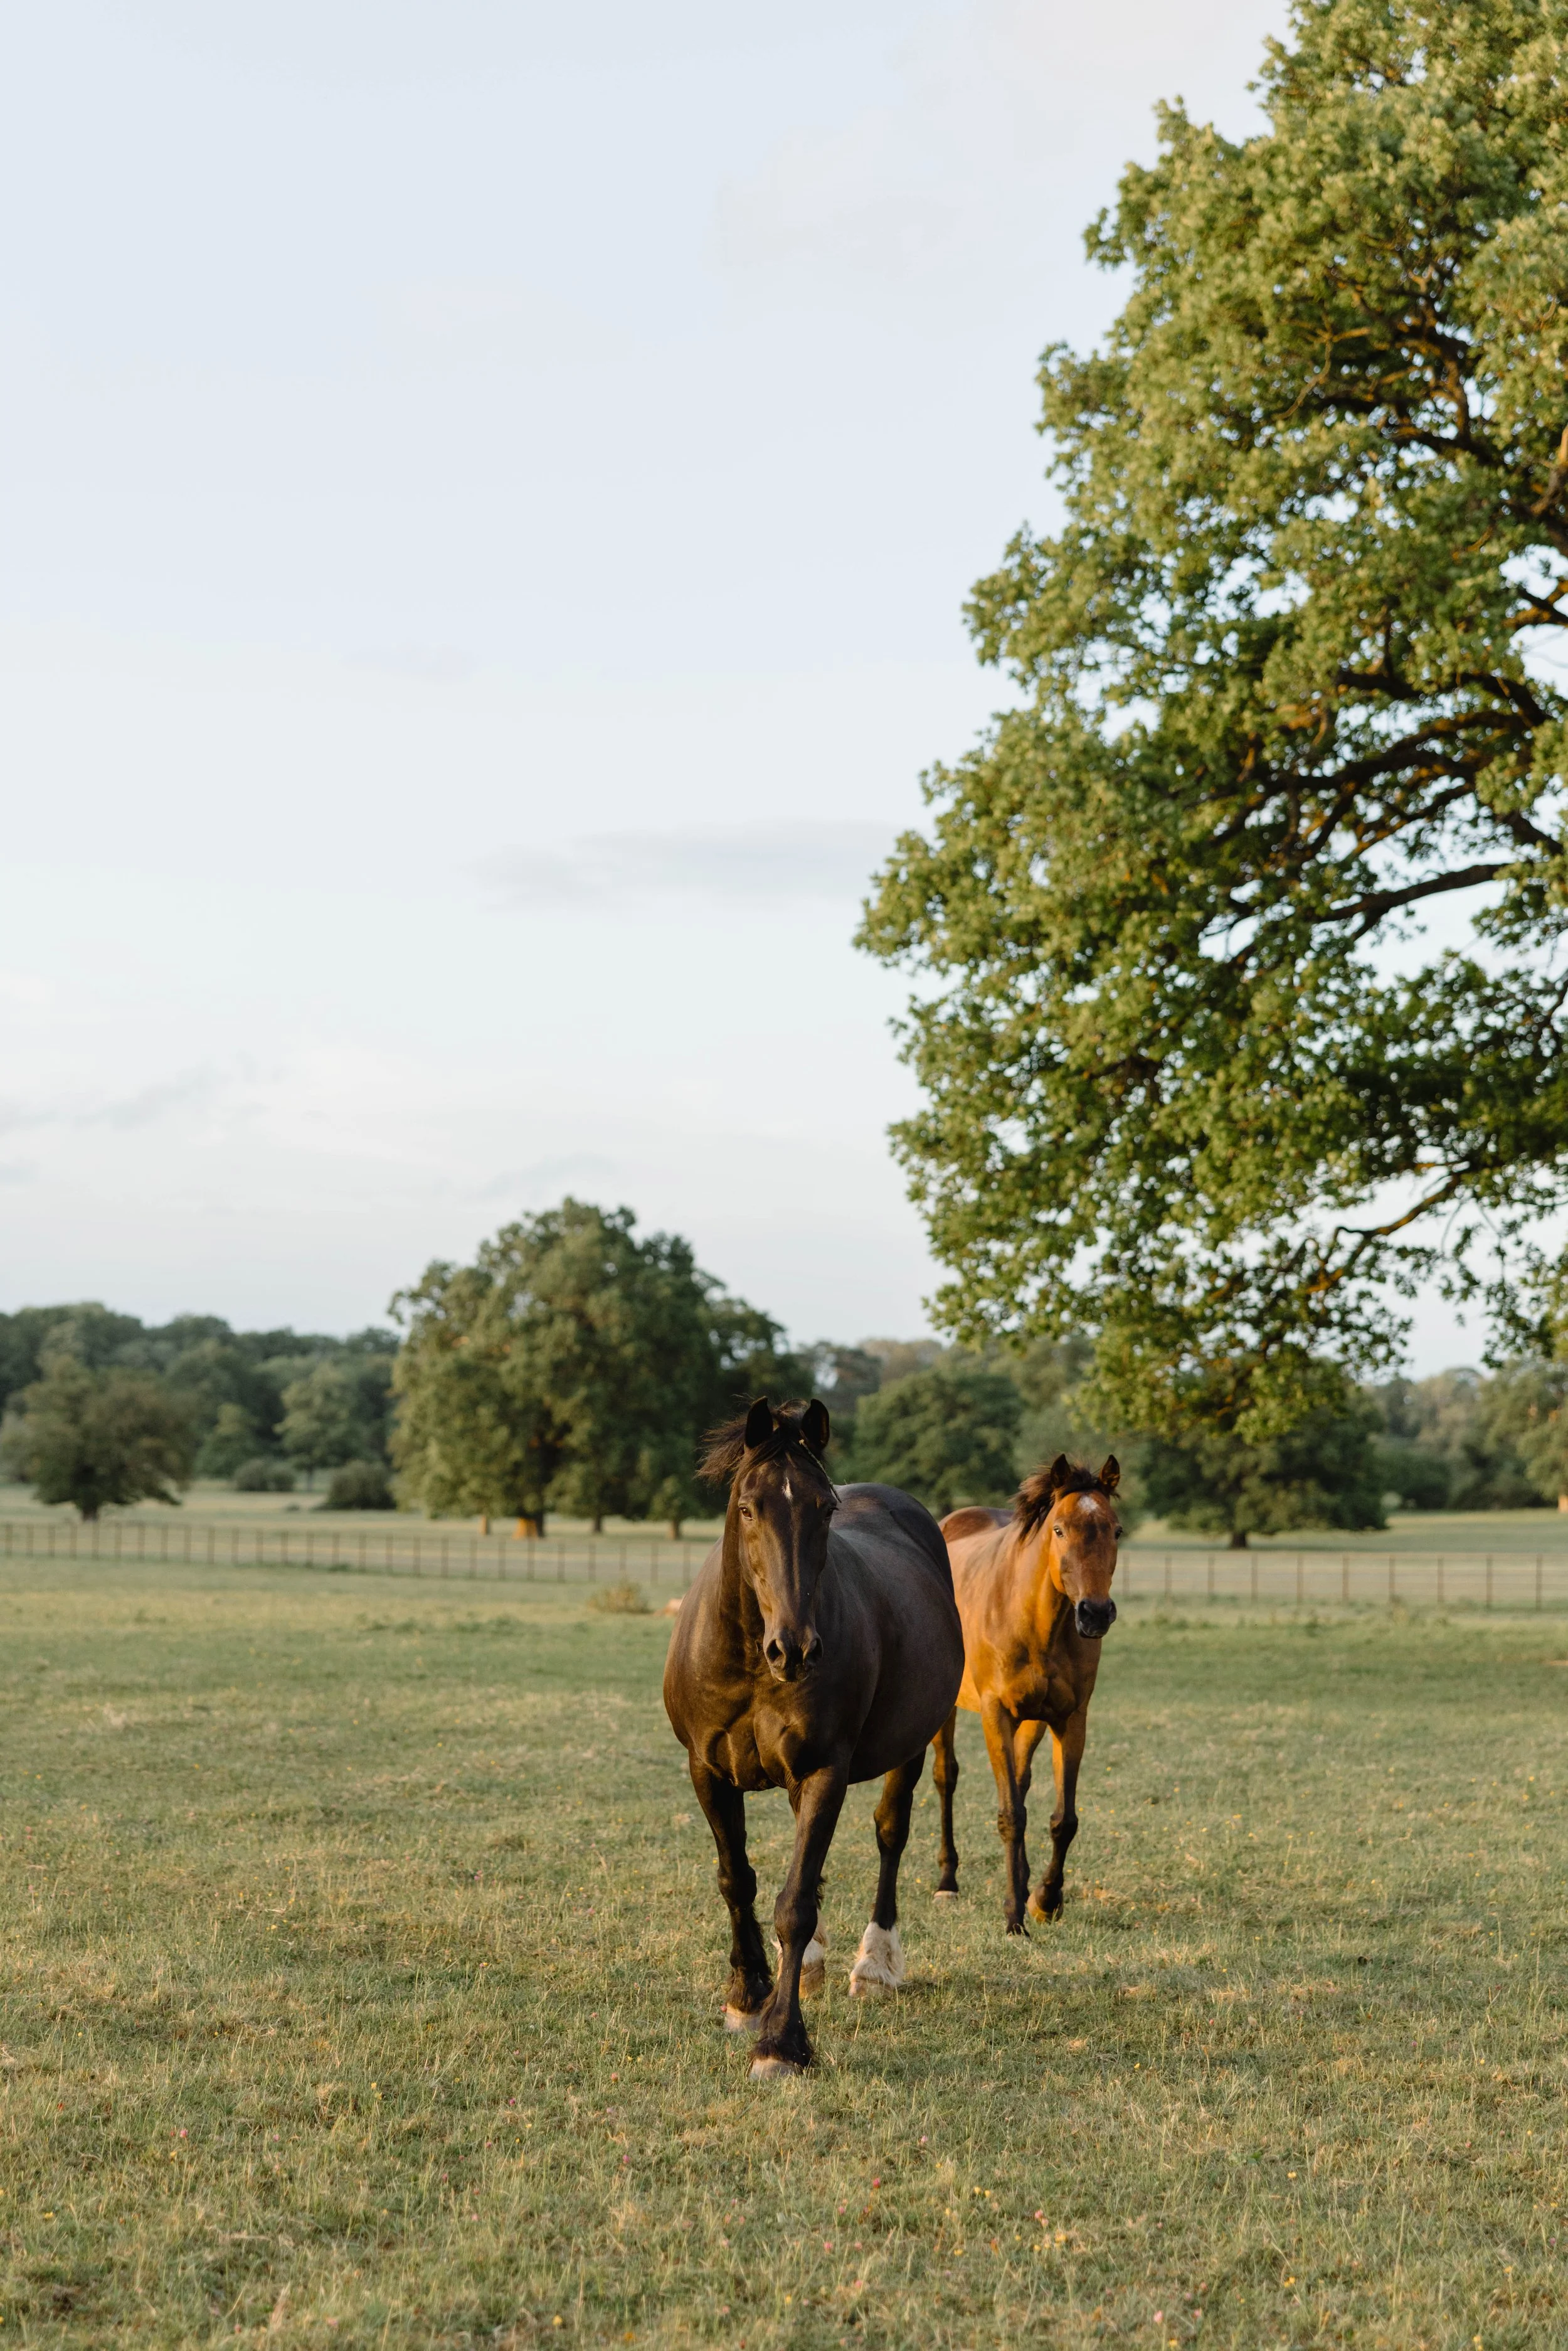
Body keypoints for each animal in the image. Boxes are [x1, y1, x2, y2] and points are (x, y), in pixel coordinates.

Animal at [664, 1396, 964, 2077]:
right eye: (748, 1506)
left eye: (824, 1508)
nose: (795, 1649)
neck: (751, 1658)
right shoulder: (707, 1770)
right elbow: (737, 1879)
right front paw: (748, 1994)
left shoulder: (826, 1770)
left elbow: (795, 1902)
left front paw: (781, 2042)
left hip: (909, 1748)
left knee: (890, 1835)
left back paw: (874, 1964)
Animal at [930, 1453, 1122, 1935]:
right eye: (1059, 1530)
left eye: (1116, 1530)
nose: (1095, 1613)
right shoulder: (995, 1713)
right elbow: (1011, 1815)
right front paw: (1014, 1915)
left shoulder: (1070, 1718)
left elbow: (1062, 1819)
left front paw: (1045, 1899)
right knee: (946, 1777)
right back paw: (947, 1881)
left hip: (1033, 1720)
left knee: (1020, 1779)